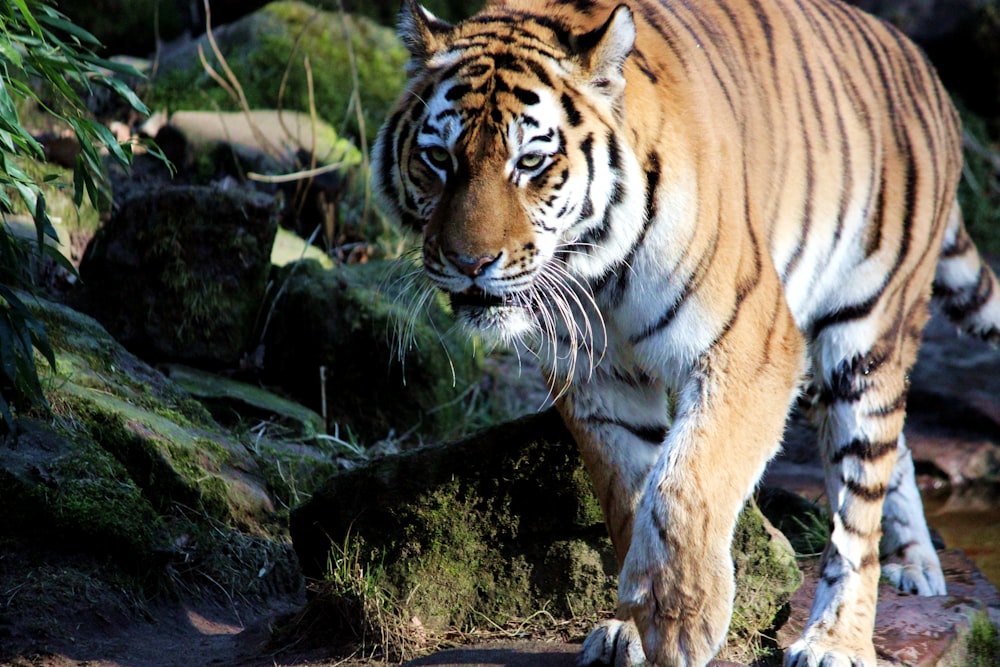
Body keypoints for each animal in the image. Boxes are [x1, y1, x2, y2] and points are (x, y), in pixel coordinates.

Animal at [370, 0, 1000, 664]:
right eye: (439, 160)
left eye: (531, 163)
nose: (470, 263)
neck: (595, 269)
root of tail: (920, 62)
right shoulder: (598, 377)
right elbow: (631, 495)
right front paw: (631, 626)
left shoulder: (753, 348)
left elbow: (687, 481)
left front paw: (679, 618)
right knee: (893, 451)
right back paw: (914, 564)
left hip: (864, 331)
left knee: (860, 497)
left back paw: (837, 639)